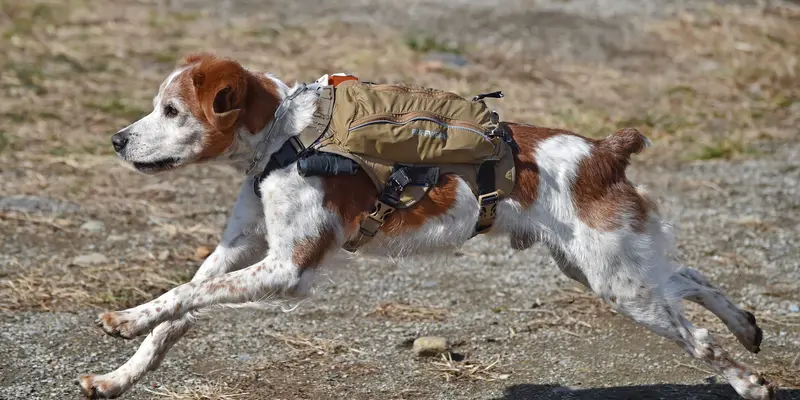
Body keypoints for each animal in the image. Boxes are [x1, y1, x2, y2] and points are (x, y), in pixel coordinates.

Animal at [78, 54, 772, 400]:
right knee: (689, 277)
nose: (115, 139)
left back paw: (746, 379)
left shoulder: (288, 268)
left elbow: (185, 296)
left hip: (616, 283)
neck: (283, 141)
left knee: (696, 334)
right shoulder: (241, 251)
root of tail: (604, 151)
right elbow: (181, 307)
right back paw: (748, 328)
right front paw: (119, 376)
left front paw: (125, 320)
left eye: (172, 110)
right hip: (599, 268)